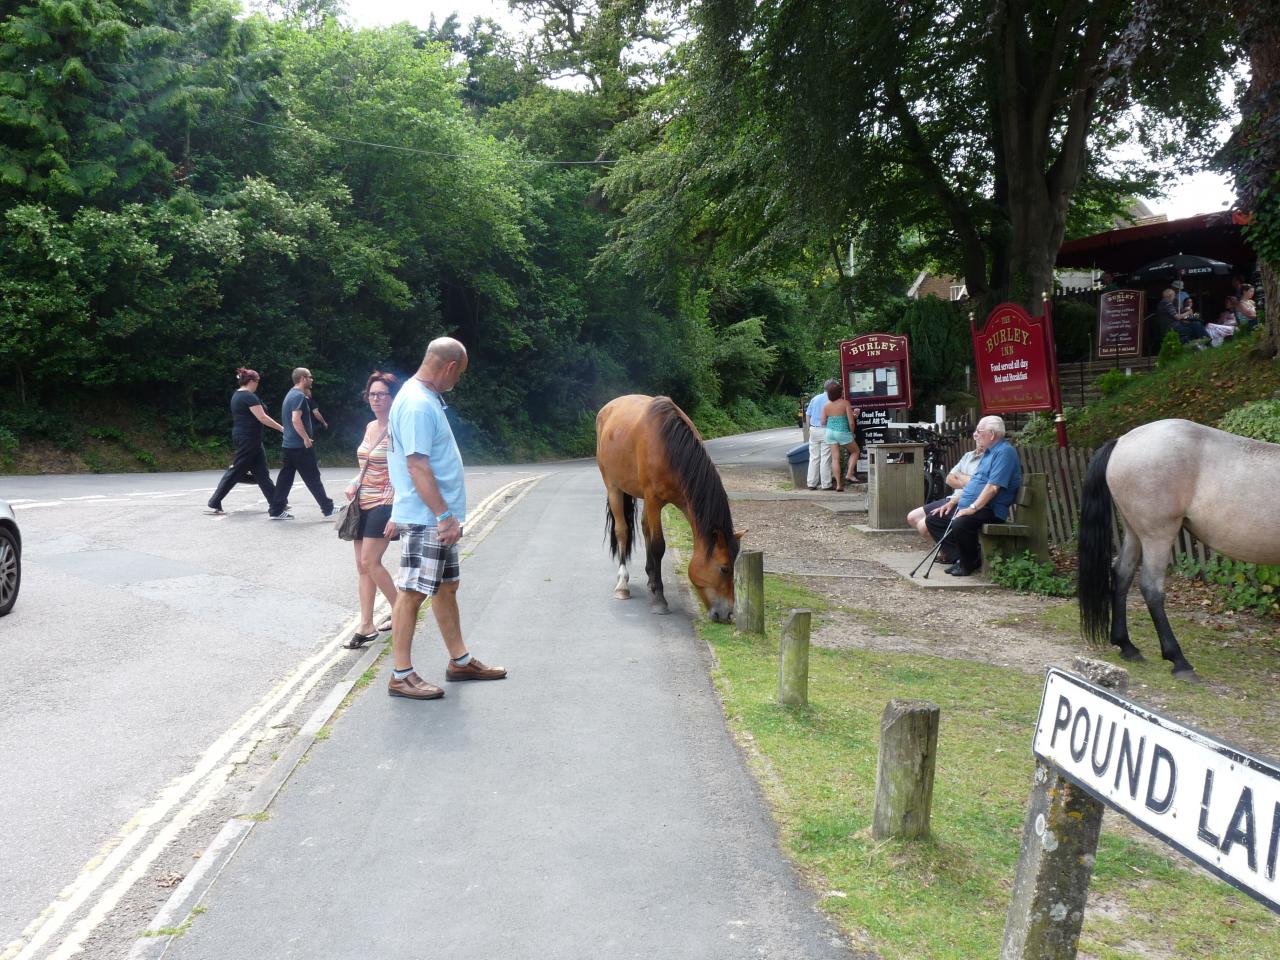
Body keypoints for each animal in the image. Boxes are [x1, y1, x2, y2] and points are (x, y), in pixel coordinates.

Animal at [596, 394, 742, 619]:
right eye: (724, 568)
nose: (727, 614)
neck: (668, 447)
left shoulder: (676, 501)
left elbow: (650, 536)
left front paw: (654, 582)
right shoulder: (653, 500)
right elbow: (658, 545)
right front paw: (659, 599)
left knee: (644, 527)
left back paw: (649, 577)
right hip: (614, 488)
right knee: (622, 531)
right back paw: (622, 584)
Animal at [1080, 419, 1280, 686]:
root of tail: (1122, 441)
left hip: (1134, 532)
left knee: (1122, 574)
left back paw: (1127, 646)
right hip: (1158, 536)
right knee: (1151, 589)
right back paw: (1179, 661)